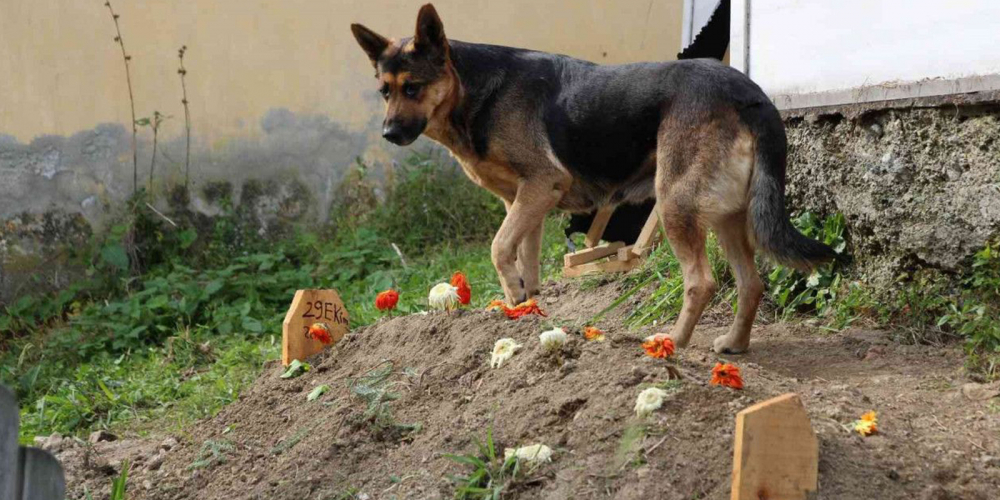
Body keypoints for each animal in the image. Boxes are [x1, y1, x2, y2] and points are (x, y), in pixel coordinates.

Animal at [352, 4, 836, 356]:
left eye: (412, 87)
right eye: (384, 91)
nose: (388, 133)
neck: (473, 88)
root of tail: (750, 93)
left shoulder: (541, 185)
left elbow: (498, 248)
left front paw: (513, 297)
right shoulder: (525, 200)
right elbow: (526, 259)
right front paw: (526, 307)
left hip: (676, 205)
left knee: (702, 282)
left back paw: (672, 343)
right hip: (725, 216)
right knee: (751, 282)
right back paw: (734, 344)